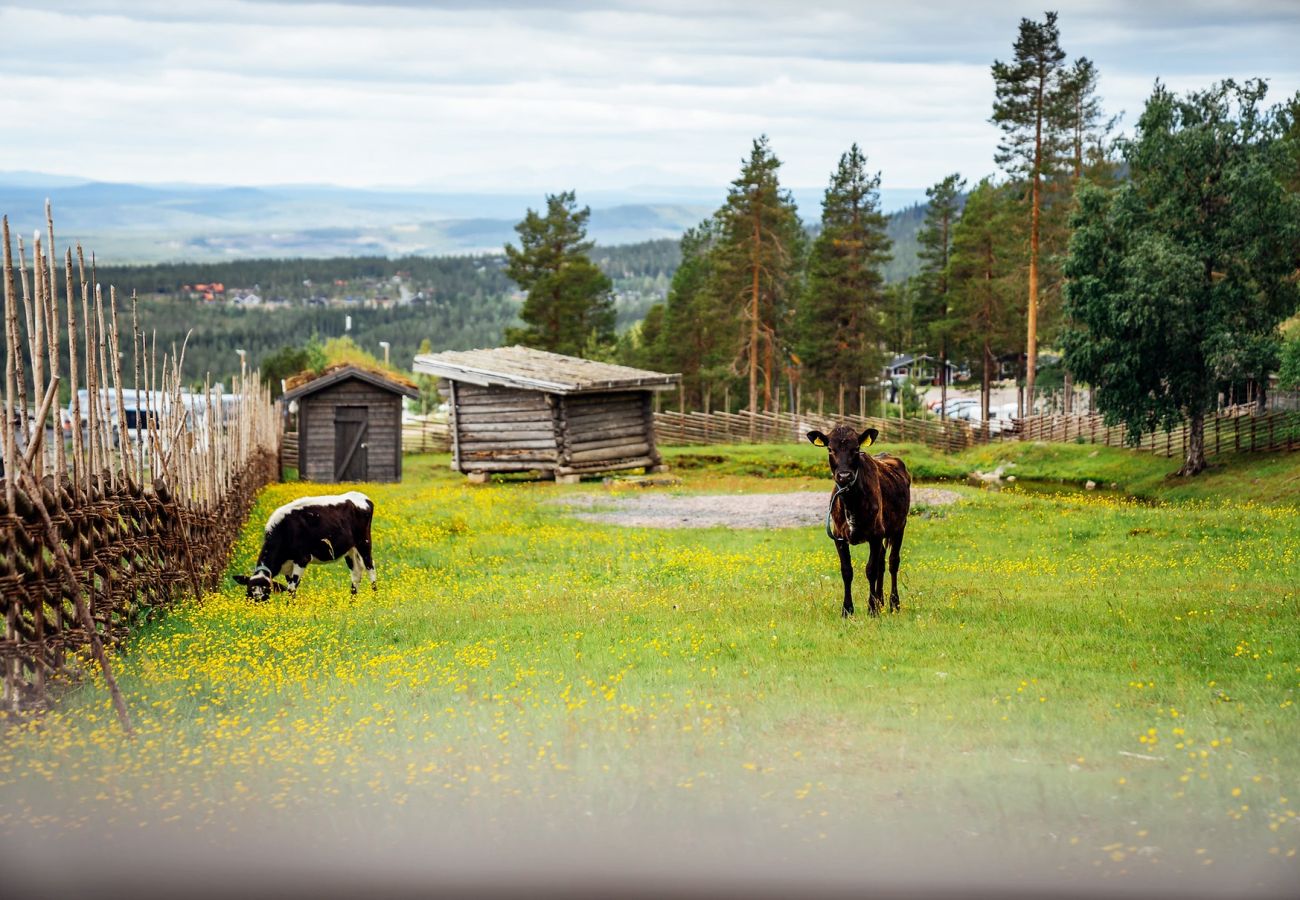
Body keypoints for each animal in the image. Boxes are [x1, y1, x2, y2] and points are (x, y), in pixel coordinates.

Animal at [232, 489, 377, 600]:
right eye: (248, 594)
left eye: (266, 595)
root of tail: (359, 495)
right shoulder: (288, 566)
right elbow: (290, 586)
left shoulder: (302, 559)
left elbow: (291, 589)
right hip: (350, 549)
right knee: (356, 573)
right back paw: (352, 602)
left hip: (364, 543)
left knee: (370, 568)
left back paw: (375, 599)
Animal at [806, 426, 909, 616]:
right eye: (830, 449)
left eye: (856, 449)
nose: (844, 476)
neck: (851, 501)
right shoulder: (838, 536)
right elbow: (847, 571)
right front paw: (847, 610)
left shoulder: (875, 535)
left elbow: (871, 570)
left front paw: (872, 609)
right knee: (882, 562)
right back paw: (881, 601)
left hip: (900, 526)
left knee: (893, 562)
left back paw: (894, 604)